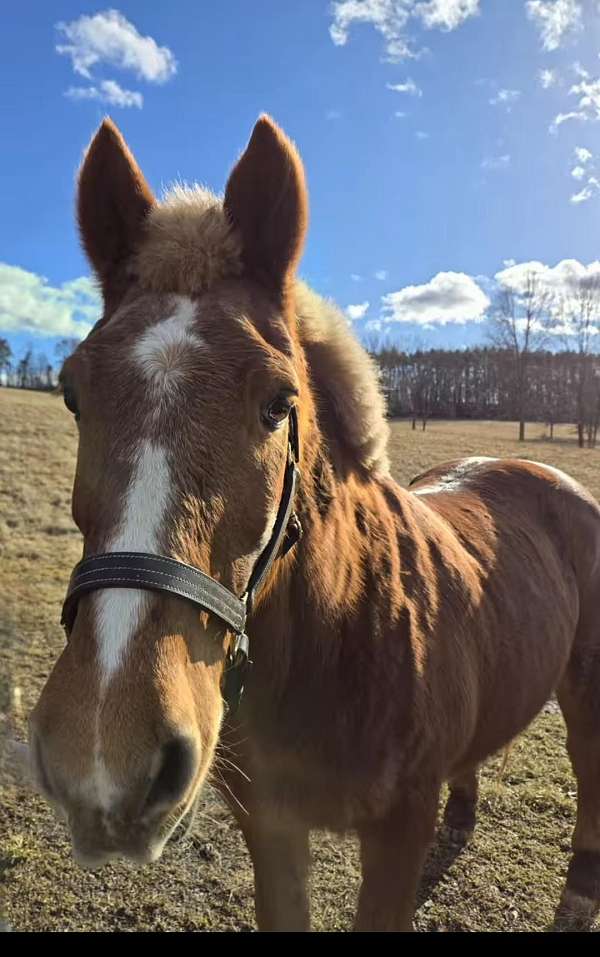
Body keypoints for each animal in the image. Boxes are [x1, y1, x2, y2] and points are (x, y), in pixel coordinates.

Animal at [24, 116, 600, 928]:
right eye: (74, 392)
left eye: (279, 401)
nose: (106, 761)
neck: (342, 638)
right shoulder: (272, 830)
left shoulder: (395, 834)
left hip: (586, 689)